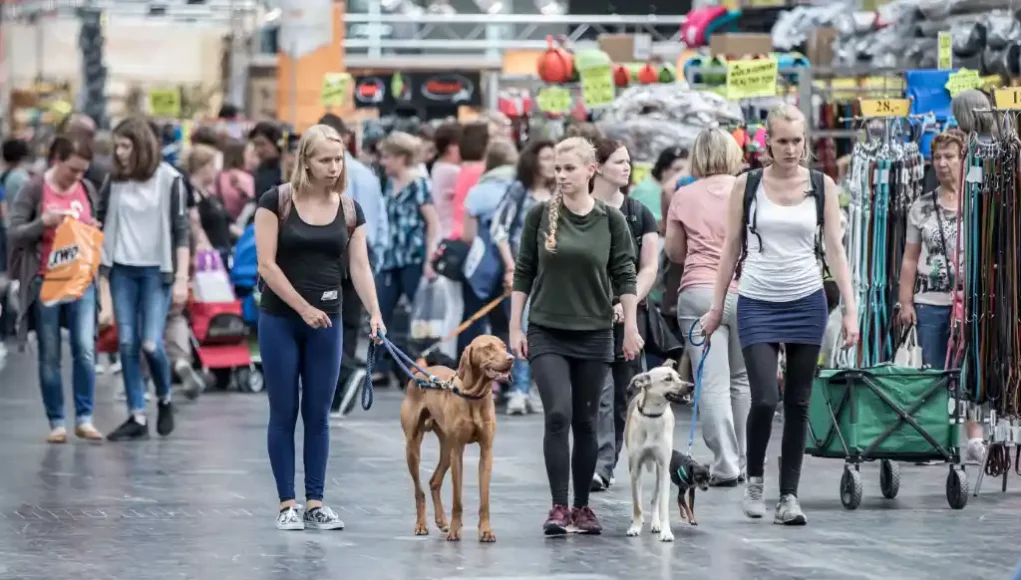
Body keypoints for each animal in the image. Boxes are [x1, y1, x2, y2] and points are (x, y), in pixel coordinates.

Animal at [398, 332, 510, 543]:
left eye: (504, 346)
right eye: (488, 347)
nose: (511, 359)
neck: (474, 396)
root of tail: (423, 372)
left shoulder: (486, 451)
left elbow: (485, 500)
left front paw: (485, 531)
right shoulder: (458, 451)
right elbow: (457, 499)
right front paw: (455, 531)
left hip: (446, 449)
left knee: (434, 481)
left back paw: (442, 520)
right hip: (413, 447)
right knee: (419, 491)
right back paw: (421, 525)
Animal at [620, 365, 694, 543]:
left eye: (679, 376)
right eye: (668, 379)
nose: (691, 386)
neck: (653, 416)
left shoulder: (663, 468)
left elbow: (662, 505)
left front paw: (666, 531)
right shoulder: (635, 467)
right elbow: (637, 503)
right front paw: (635, 527)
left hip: (659, 473)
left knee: (655, 499)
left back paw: (656, 523)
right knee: (639, 495)